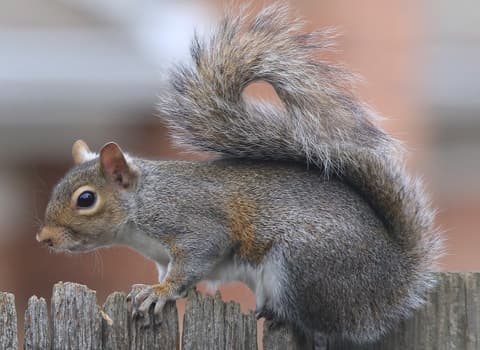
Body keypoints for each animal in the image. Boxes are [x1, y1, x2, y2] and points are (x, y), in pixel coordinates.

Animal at [37, 3, 442, 342]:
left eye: (86, 199)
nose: (45, 239)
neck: (141, 204)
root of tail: (393, 284)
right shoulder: (162, 256)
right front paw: (148, 290)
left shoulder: (192, 223)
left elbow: (196, 258)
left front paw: (160, 293)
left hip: (301, 264)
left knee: (318, 321)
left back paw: (280, 314)